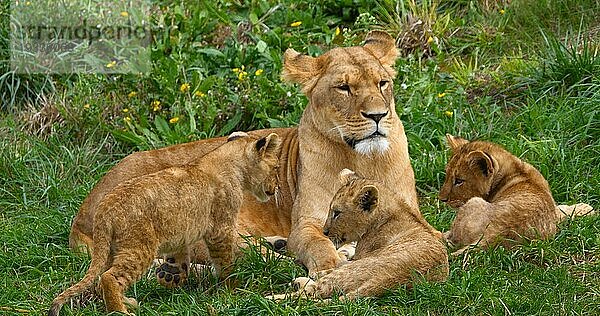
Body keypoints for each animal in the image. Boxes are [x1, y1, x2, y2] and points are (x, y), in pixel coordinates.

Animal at [70, 29, 418, 276]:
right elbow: (318, 245)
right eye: (344, 88)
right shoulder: (306, 223)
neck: (364, 157)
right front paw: (331, 265)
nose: (378, 116)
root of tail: (85, 214)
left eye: (382, 83)